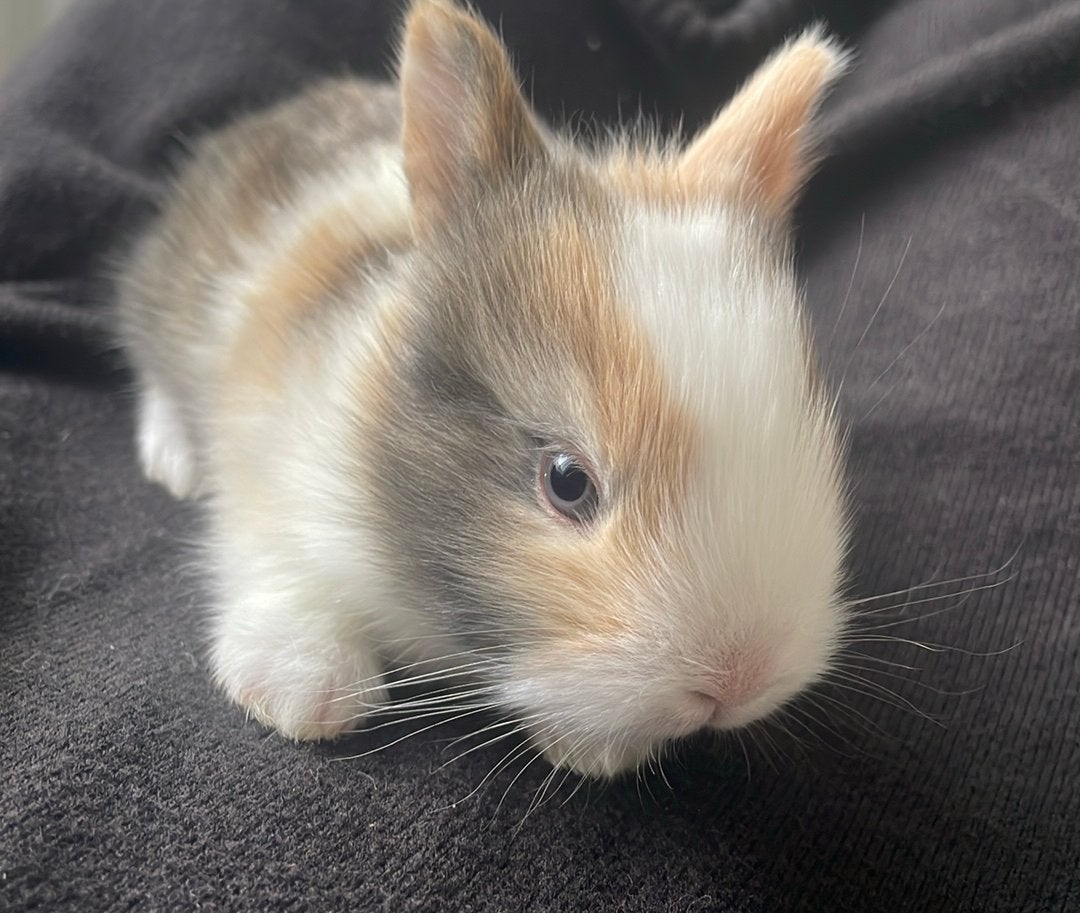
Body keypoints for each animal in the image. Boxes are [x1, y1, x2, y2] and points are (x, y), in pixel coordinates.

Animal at [116, 0, 851, 778]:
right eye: (566, 480)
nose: (739, 680)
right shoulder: (263, 437)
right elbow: (268, 547)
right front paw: (306, 690)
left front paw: (598, 747)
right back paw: (174, 460)